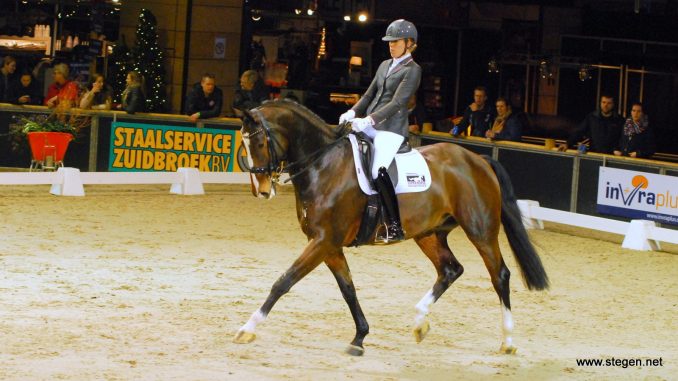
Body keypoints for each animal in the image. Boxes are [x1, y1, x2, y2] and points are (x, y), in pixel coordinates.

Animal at [236, 99, 548, 354]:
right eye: (245, 146)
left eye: (260, 143)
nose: (261, 191)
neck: (322, 164)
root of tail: (478, 160)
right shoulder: (329, 245)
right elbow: (348, 289)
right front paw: (360, 337)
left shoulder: (323, 241)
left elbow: (284, 281)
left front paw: (247, 329)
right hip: (428, 233)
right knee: (450, 269)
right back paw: (420, 322)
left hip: (480, 229)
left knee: (500, 275)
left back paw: (507, 341)